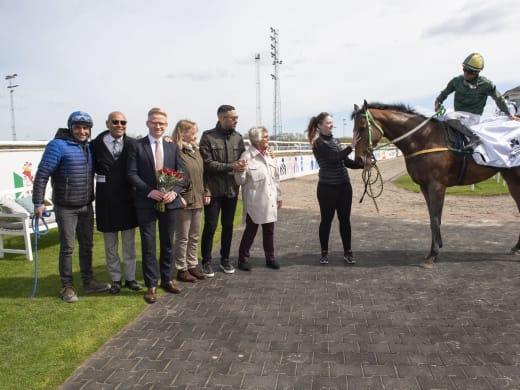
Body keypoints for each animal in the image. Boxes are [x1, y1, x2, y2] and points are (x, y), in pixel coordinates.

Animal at [350, 99, 520, 266]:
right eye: (354, 129)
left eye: (362, 128)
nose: (359, 159)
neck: (424, 138)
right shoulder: (424, 186)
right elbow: (432, 217)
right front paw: (435, 248)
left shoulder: (436, 185)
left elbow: (436, 218)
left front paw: (434, 253)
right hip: (511, 178)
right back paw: (516, 247)